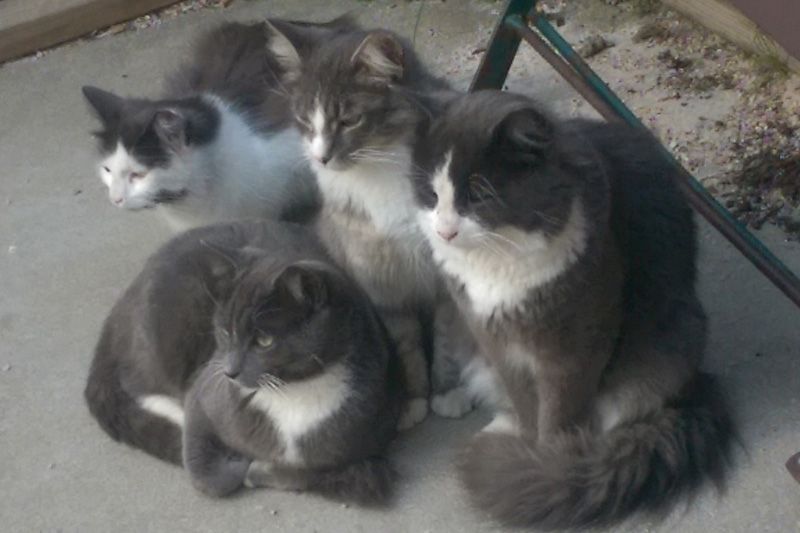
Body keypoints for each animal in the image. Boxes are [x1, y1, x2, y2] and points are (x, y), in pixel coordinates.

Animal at [84, 219, 404, 502]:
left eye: (264, 341)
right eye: (225, 332)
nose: (230, 372)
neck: (294, 394)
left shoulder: (375, 432)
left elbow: (313, 471)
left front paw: (258, 469)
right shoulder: (205, 393)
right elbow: (203, 468)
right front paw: (235, 465)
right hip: (163, 337)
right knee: (136, 383)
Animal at [416, 91, 736, 528]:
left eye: (477, 196)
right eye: (431, 197)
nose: (445, 231)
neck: (500, 262)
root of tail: (693, 388)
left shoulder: (574, 349)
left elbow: (557, 415)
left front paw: (547, 467)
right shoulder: (498, 342)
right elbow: (526, 405)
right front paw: (528, 449)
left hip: (672, 339)